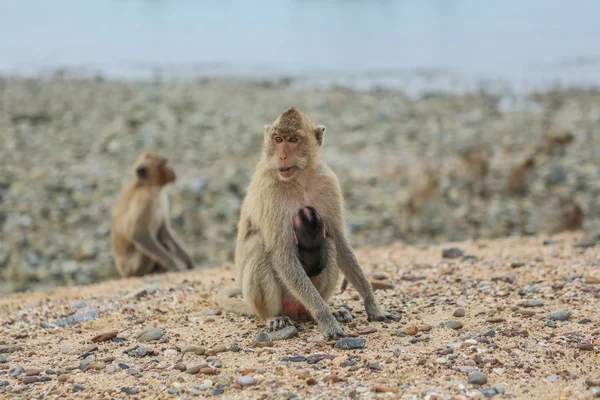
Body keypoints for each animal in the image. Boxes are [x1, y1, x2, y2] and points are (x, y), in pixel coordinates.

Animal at [217, 108, 398, 340]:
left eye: (293, 140)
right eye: (278, 139)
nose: (282, 155)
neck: (299, 179)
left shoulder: (328, 184)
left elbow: (340, 242)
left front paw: (371, 305)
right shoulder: (270, 193)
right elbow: (281, 253)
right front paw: (326, 319)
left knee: (329, 244)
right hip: (276, 301)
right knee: (260, 249)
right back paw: (274, 317)